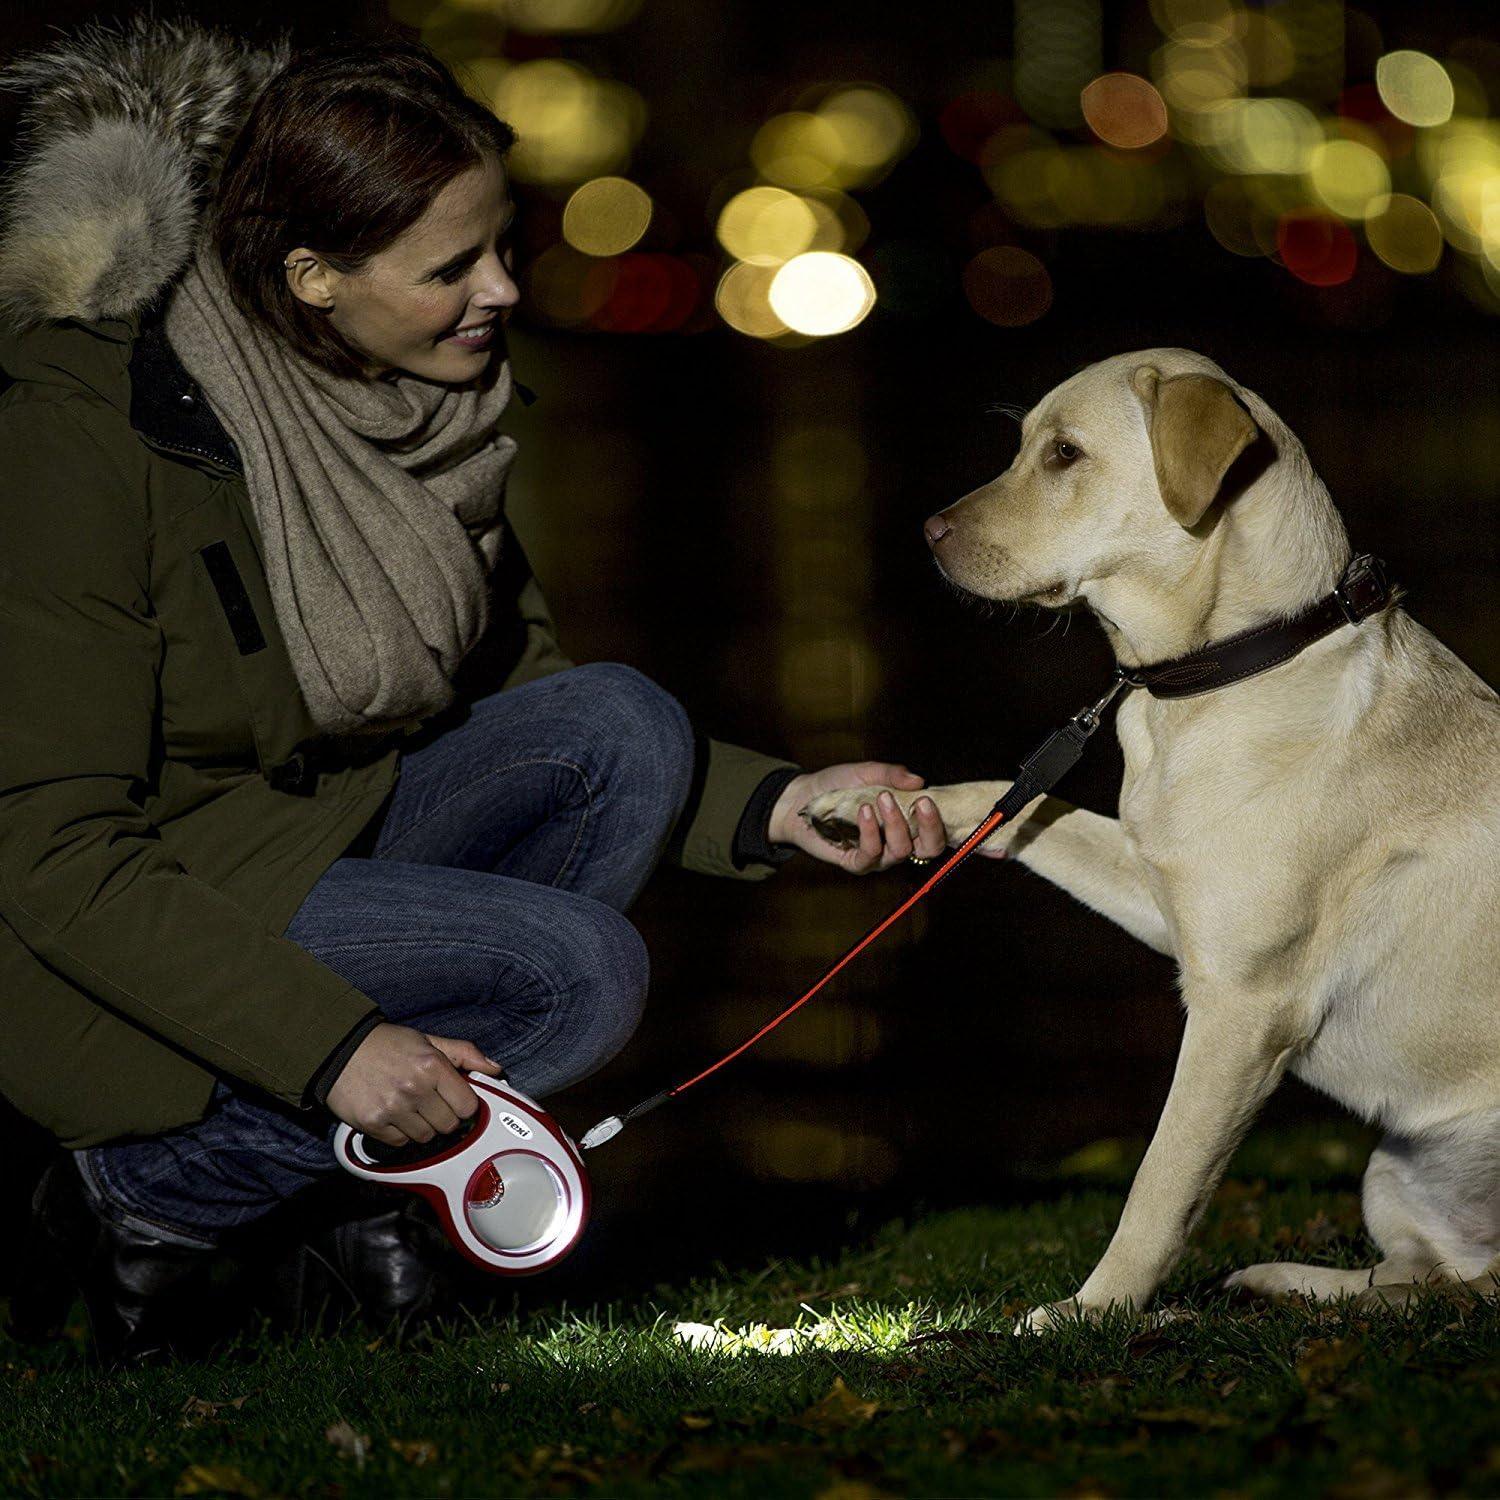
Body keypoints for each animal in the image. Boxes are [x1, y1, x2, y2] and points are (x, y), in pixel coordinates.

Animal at [804, 345, 1500, 1332]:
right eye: (1023, 443)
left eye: (1064, 454)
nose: (928, 531)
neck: (1226, 666)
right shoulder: (1161, 888)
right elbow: (1022, 809)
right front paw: (879, 801)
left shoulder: (1240, 1011)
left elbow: (1159, 1187)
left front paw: (1091, 1312)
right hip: (1391, 1174)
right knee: (1429, 1279)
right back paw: (1291, 1286)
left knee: (1464, 1290)